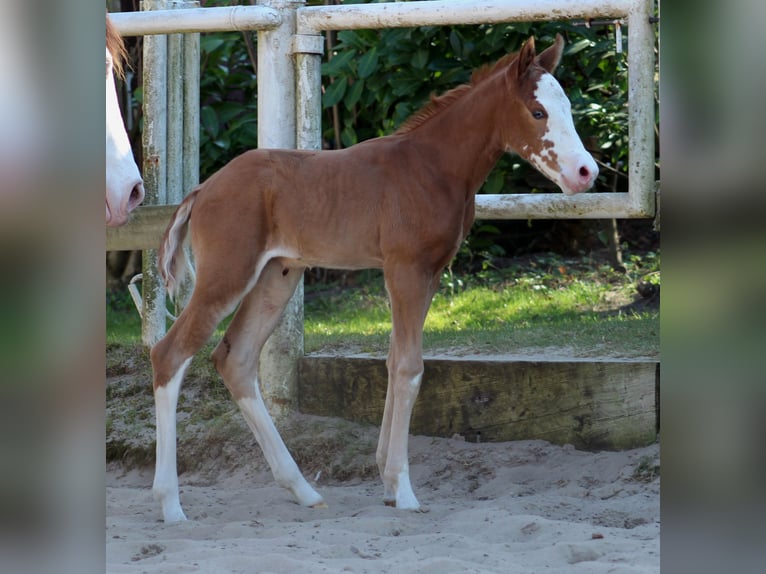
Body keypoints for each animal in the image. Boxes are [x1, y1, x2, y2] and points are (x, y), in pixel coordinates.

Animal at [150, 33, 600, 524]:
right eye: (537, 112)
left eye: (568, 108)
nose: (586, 172)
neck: (431, 167)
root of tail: (201, 190)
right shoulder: (406, 269)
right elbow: (409, 368)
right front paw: (403, 490)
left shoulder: (428, 273)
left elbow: (393, 359)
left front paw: (386, 479)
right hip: (227, 274)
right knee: (170, 354)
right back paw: (170, 505)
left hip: (277, 276)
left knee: (236, 359)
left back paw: (303, 490)